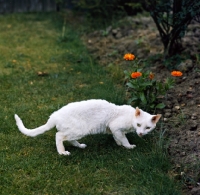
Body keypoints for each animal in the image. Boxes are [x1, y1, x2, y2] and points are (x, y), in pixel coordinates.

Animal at [14, 99, 161, 155]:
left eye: (148, 128)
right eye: (139, 125)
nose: (141, 133)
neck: (131, 117)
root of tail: (55, 114)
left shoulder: (114, 129)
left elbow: (118, 137)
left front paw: (119, 144)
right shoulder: (115, 126)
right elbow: (124, 138)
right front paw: (128, 146)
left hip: (76, 131)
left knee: (68, 138)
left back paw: (79, 146)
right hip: (80, 129)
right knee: (59, 136)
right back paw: (62, 152)